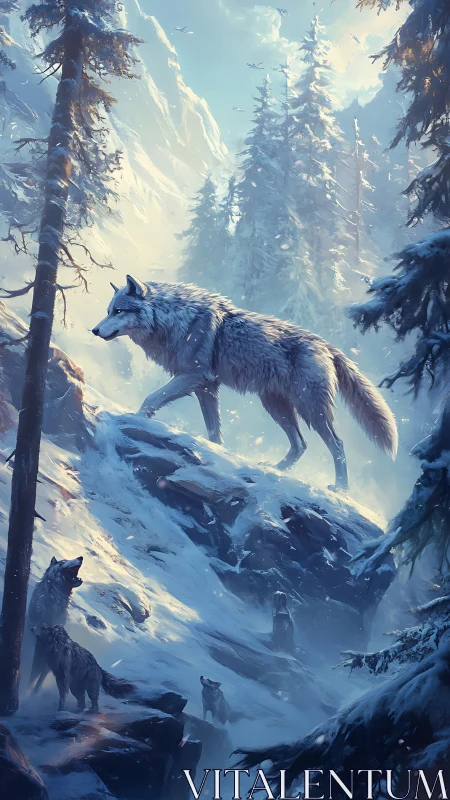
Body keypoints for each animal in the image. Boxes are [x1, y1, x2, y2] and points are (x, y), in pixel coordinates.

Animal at [92, 277, 398, 490]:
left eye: (118, 311)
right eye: (108, 310)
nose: (94, 330)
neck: (176, 319)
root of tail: (326, 345)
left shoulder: (193, 377)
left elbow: (152, 398)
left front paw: (135, 417)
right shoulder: (206, 388)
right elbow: (214, 432)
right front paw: (216, 455)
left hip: (311, 409)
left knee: (337, 445)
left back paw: (341, 489)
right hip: (275, 405)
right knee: (300, 445)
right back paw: (275, 469)